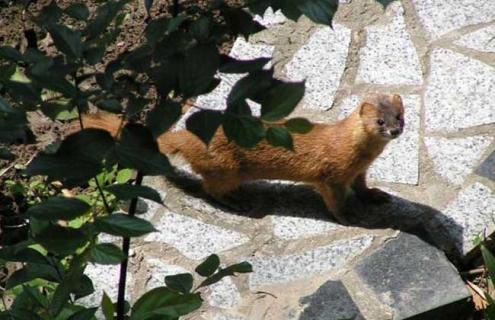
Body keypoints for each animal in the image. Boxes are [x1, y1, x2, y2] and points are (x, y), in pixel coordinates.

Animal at [82, 92, 406, 222]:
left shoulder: (359, 171)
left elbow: (362, 187)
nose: (394, 130)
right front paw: (349, 215)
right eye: (379, 121)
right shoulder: (331, 177)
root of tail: (187, 136)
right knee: (209, 188)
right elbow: (334, 201)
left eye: (400, 116)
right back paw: (238, 202)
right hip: (227, 168)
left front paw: (377, 196)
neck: (360, 154)